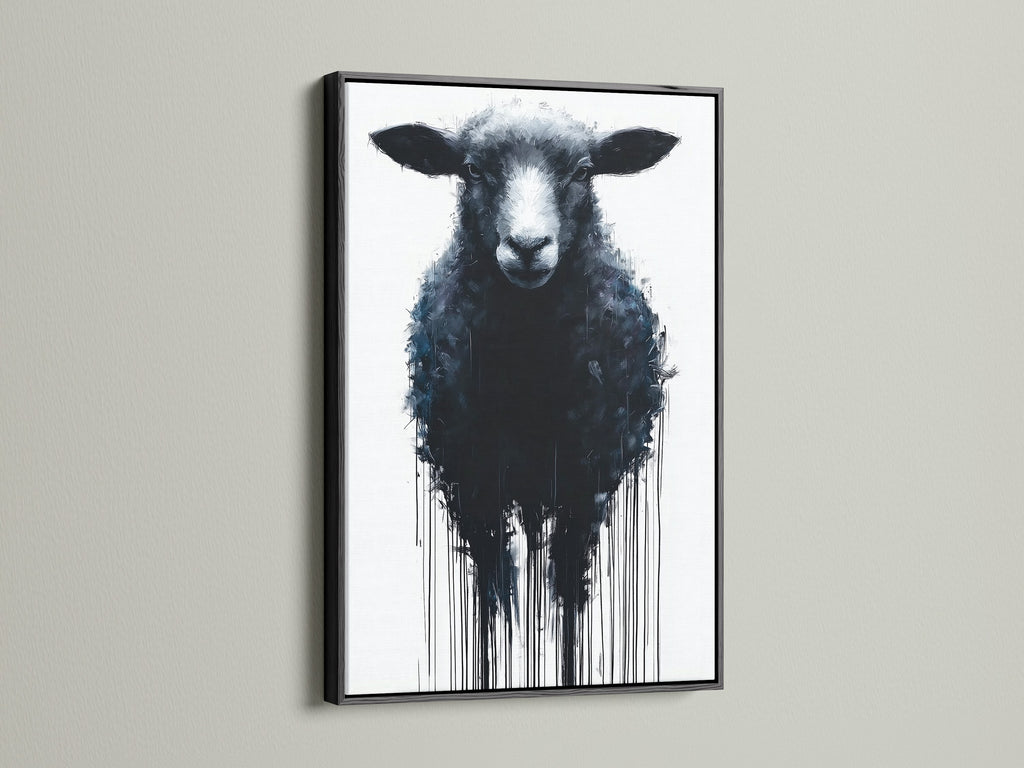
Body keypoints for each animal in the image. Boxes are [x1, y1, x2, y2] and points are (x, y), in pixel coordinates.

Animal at [371, 103, 678, 688]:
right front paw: (490, 666)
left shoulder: (589, 484)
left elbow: (569, 595)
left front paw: (567, 663)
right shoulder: (469, 483)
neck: (529, 377)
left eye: (583, 171)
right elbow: (492, 594)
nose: (529, 246)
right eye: (471, 169)